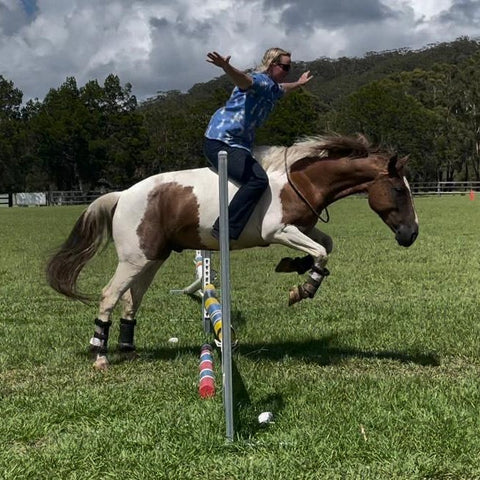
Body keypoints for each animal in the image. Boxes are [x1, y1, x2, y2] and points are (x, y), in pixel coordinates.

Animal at [47, 133, 418, 370]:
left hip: (151, 259)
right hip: (134, 259)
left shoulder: (303, 227)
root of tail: (123, 194)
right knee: (110, 295)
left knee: (131, 298)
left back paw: (128, 349)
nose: (411, 235)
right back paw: (100, 355)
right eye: (399, 190)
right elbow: (321, 252)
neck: (301, 181)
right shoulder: (279, 231)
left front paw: (297, 267)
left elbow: (326, 246)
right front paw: (304, 287)